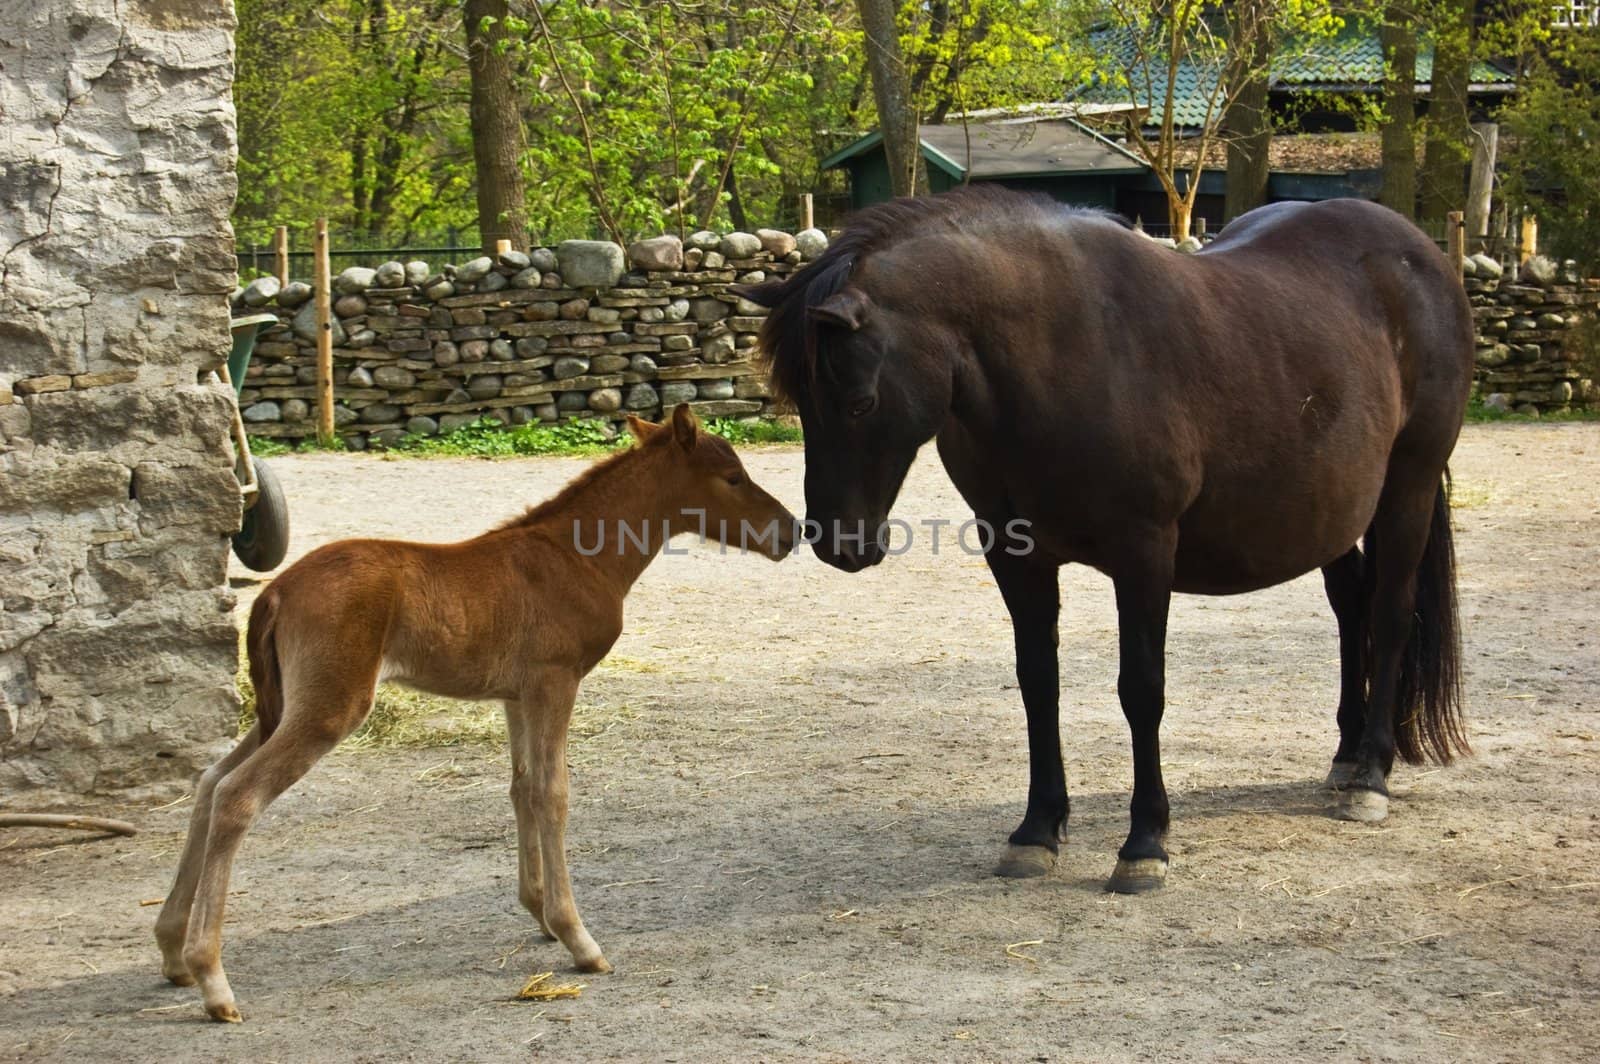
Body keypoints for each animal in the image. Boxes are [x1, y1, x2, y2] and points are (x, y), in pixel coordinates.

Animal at [156, 406, 793, 1024]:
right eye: (733, 477)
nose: (791, 530)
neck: (573, 557)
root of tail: (275, 591)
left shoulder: (517, 696)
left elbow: (521, 788)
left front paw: (540, 914)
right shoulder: (554, 681)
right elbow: (553, 793)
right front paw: (579, 939)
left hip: (283, 709)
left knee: (209, 783)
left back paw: (171, 949)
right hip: (328, 709)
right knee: (237, 795)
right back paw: (213, 980)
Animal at [732, 188, 1465, 889]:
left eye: (858, 402)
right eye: (801, 403)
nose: (839, 543)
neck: (1065, 352)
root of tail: (1420, 254)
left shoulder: (1144, 554)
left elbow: (1141, 690)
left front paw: (1144, 843)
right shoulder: (1016, 555)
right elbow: (1038, 683)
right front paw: (1037, 830)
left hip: (1407, 489)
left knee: (1390, 615)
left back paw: (1370, 776)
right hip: (1330, 515)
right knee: (1351, 611)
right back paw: (1345, 757)